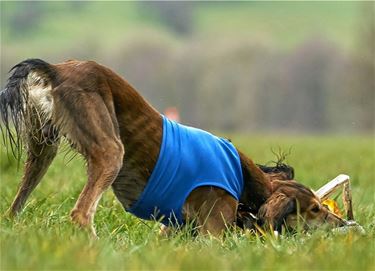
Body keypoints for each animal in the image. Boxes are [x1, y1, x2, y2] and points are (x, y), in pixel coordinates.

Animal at [0, 59, 346, 236]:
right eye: (315, 209)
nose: (344, 223)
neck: (245, 177)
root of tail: (56, 69)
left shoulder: (173, 230)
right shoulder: (214, 231)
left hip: (42, 149)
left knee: (14, 207)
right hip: (111, 151)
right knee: (81, 214)